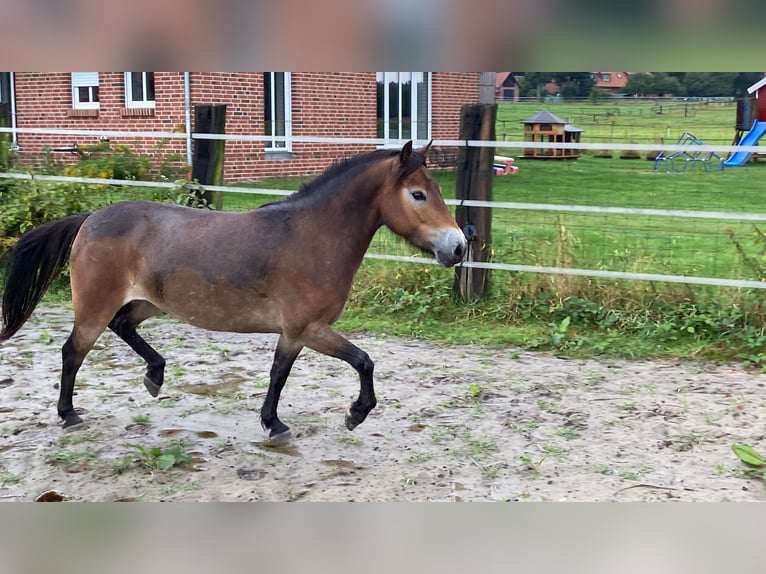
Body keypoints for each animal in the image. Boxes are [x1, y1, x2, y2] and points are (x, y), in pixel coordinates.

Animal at [0, 143, 464, 440]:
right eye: (418, 194)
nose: (459, 246)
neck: (312, 236)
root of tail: (90, 219)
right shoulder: (309, 328)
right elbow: (361, 362)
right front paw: (353, 415)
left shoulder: (295, 333)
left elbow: (281, 373)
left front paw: (273, 423)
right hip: (95, 307)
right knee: (73, 352)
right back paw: (69, 415)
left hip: (148, 302)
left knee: (123, 327)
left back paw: (155, 376)